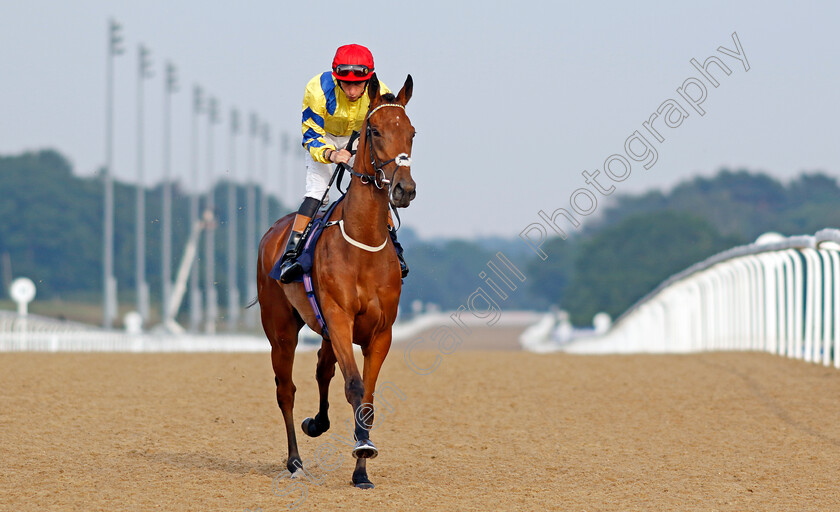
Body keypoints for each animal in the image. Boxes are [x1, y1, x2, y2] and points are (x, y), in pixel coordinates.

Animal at [254, 73, 416, 488]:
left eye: (411, 132)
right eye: (375, 131)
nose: (404, 189)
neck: (364, 244)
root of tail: (273, 232)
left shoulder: (380, 331)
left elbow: (367, 396)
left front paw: (362, 470)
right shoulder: (340, 318)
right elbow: (354, 385)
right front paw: (361, 447)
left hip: (324, 329)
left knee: (322, 370)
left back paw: (317, 423)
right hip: (282, 330)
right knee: (286, 390)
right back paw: (295, 461)